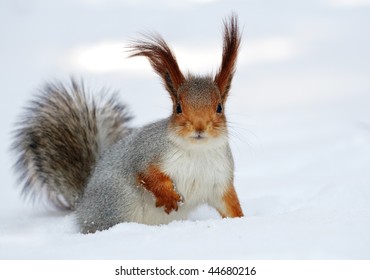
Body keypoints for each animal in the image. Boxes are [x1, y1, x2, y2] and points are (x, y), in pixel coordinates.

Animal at [11, 14, 244, 233]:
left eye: (219, 107)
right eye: (178, 108)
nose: (199, 127)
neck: (198, 151)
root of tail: (83, 204)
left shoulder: (220, 181)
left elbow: (230, 205)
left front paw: (242, 221)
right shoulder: (146, 152)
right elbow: (147, 174)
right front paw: (168, 197)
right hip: (118, 201)